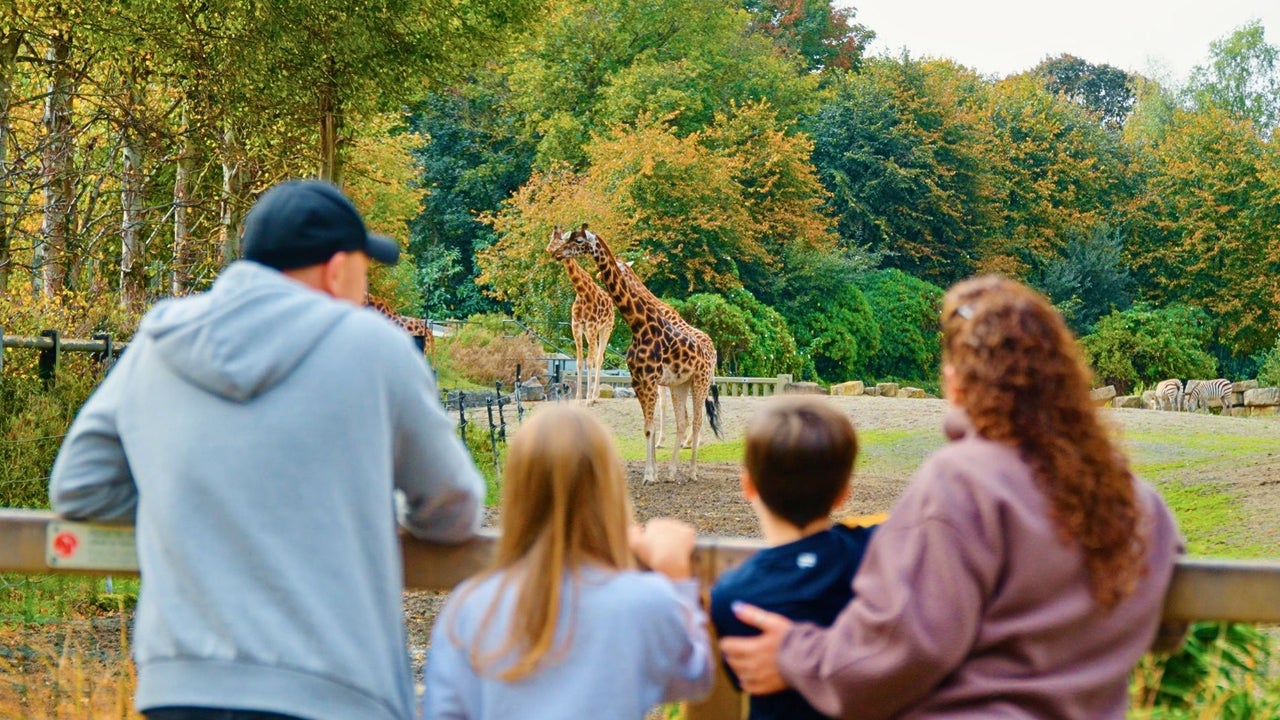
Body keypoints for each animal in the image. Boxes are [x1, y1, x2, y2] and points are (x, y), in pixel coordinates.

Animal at [553, 250, 615, 405]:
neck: (582, 293)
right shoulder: (577, 326)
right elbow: (580, 361)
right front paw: (578, 398)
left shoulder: (592, 325)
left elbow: (590, 362)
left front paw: (587, 399)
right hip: (590, 333)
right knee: (598, 355)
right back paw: (596, 395)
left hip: (606, 328)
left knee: (598, 358)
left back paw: (594, 396)